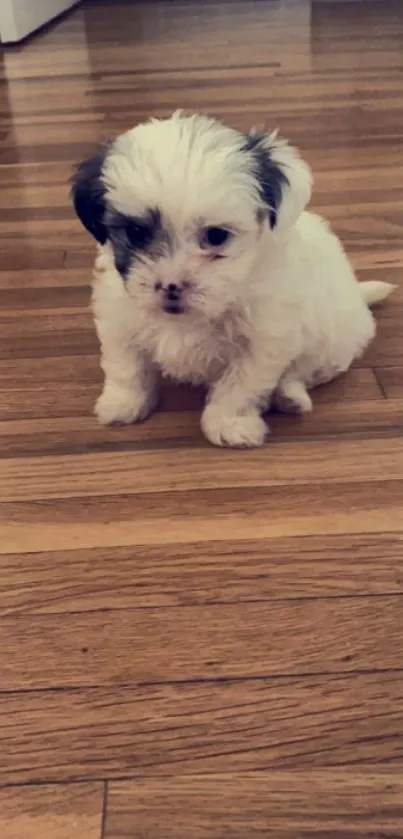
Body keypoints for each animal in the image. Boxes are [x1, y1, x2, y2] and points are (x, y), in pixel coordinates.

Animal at [72, 116, 394, 452]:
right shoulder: (119, 314)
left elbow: (240, 384)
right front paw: (124, 403)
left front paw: (228, 424)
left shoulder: (264, 339)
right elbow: (127, 364)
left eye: (216, 236)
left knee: (304, 372)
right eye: (136, 233)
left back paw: (289, 396)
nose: (172, 285)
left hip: (333, 345)